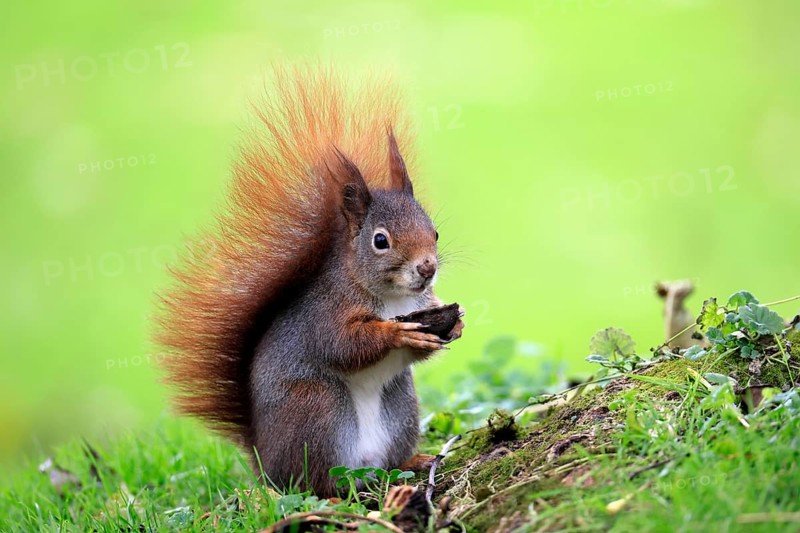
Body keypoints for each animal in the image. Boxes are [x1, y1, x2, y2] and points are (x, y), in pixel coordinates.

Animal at [155, 66, 464, 497]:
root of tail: (265, 459)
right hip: (318, 409)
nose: (427, 268)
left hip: (400, 403)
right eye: (380, 241)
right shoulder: (326, 312)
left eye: (434, 231)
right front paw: (398, 335)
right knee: (312, 482)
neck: (395, 298)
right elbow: (342, 345)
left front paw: (457, 323)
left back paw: (410, 462)